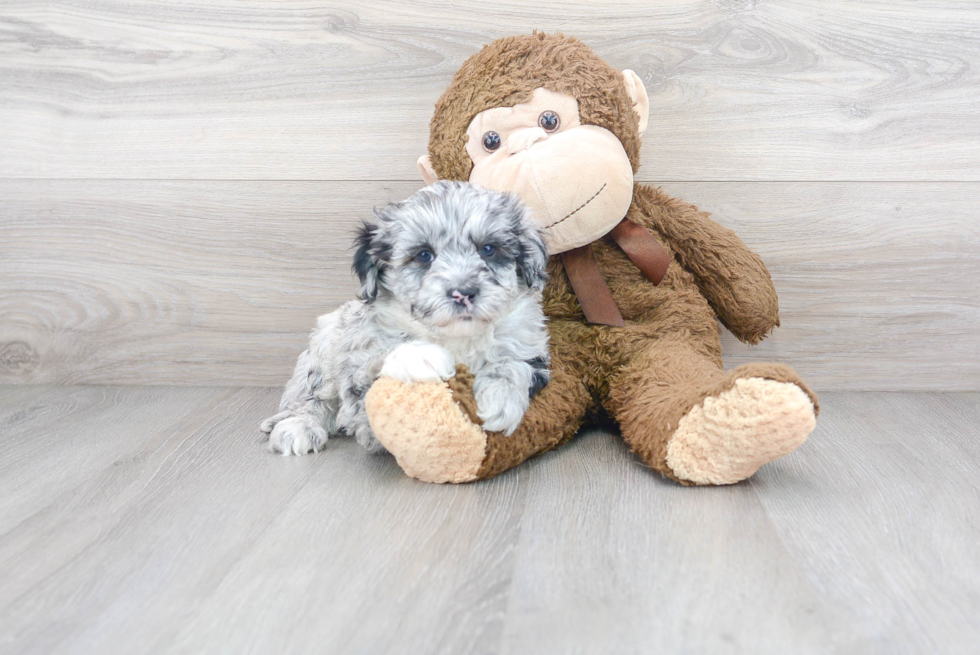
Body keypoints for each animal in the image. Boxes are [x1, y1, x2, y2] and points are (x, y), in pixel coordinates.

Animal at [260, 179, 552, 456]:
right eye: (424, 255)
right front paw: (421, 357)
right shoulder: (360, 355)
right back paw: (298, 427)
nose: (463, 293)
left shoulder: (529, 345)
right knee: (310, 397)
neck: (457, 336)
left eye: (488, 249)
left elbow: (512, 364)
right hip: (323, 349)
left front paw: (499, 400)